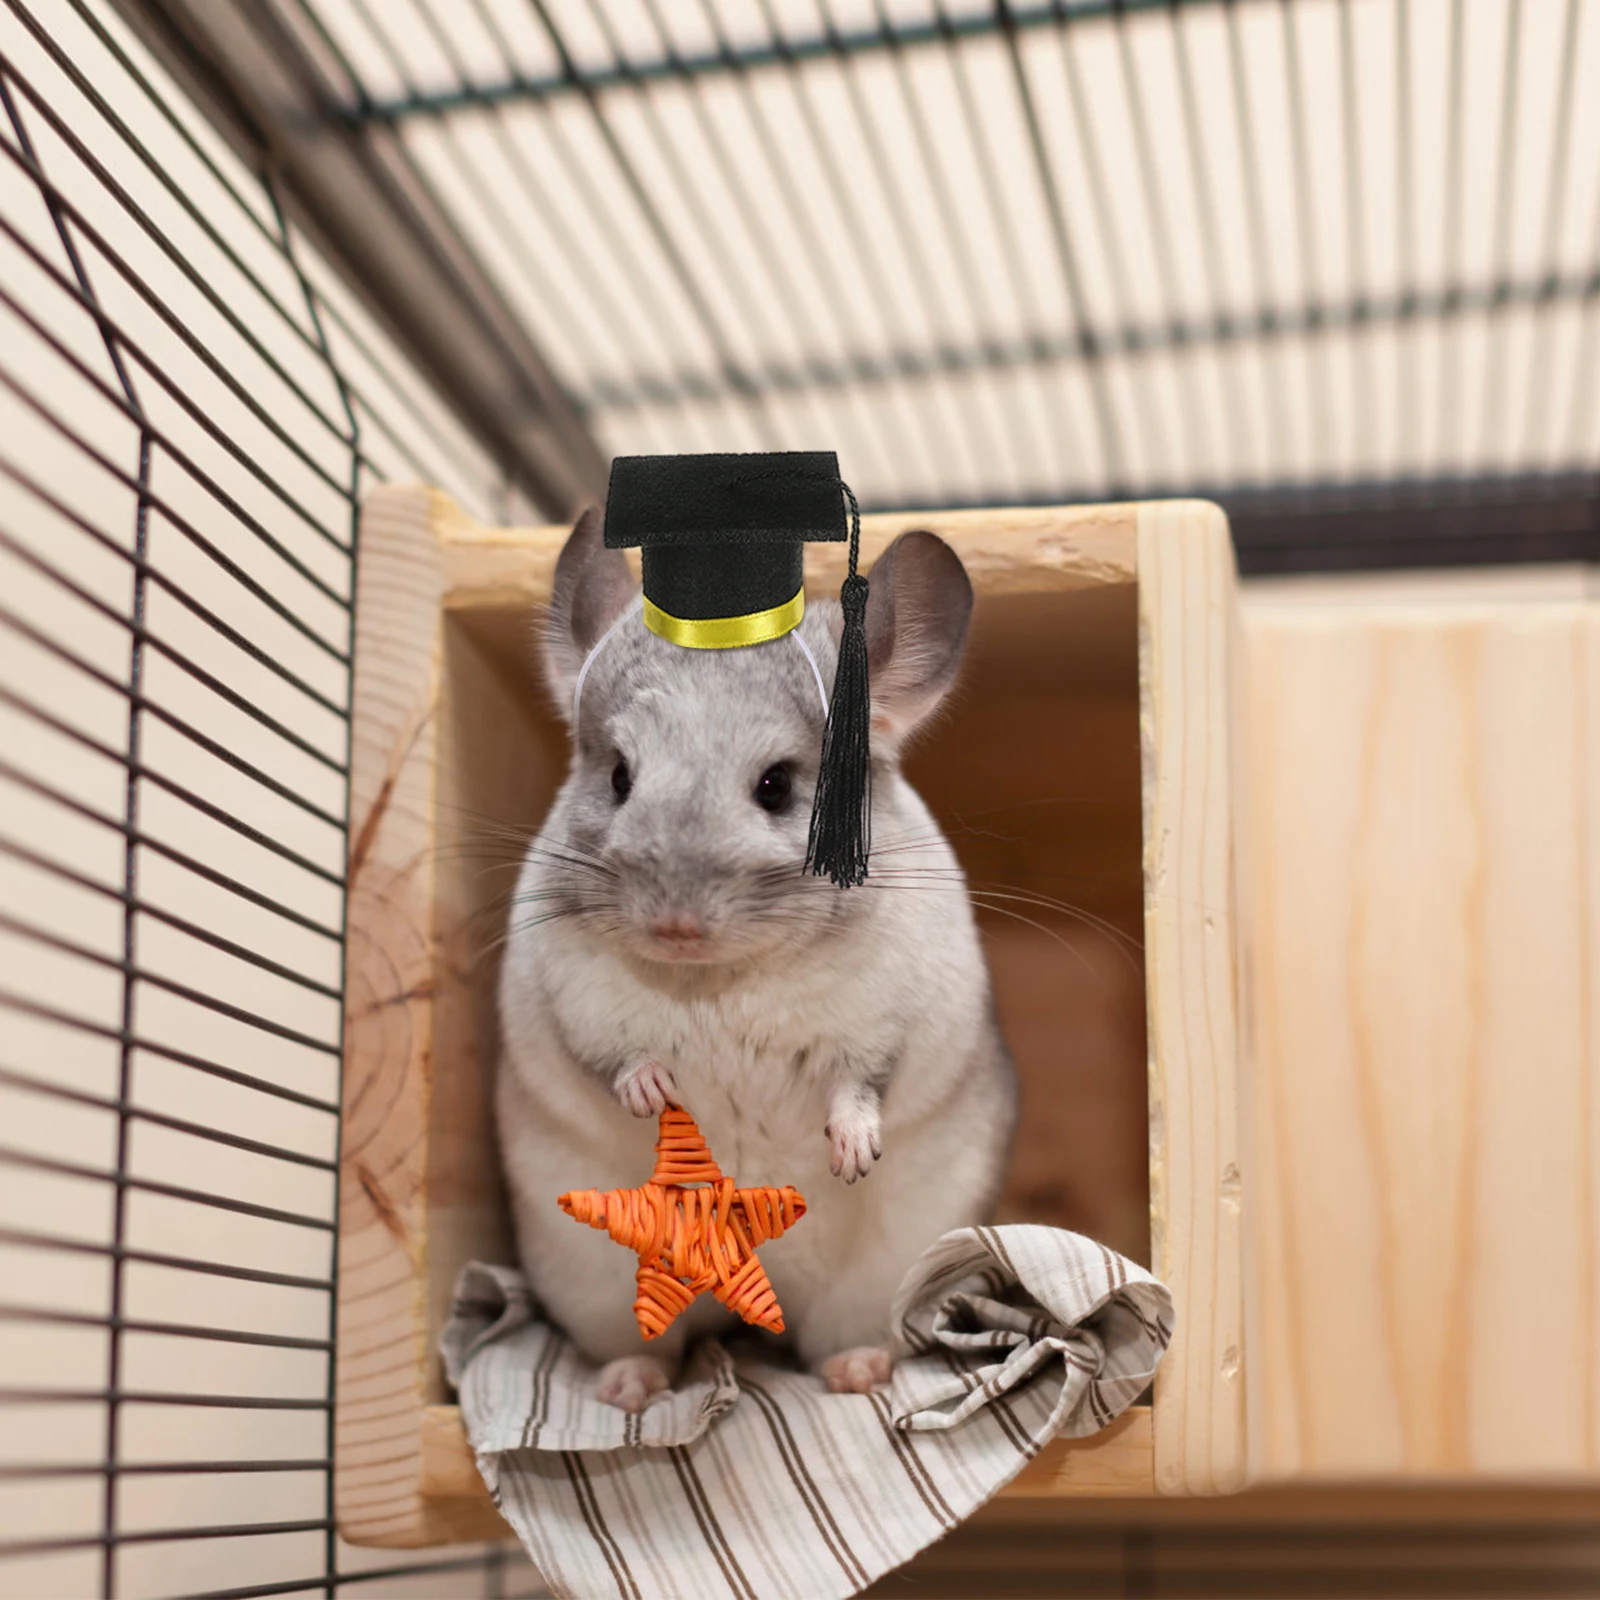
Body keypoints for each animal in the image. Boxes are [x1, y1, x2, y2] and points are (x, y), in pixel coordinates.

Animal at [495, 507, 1018, 1412]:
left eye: (777, 785)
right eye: (619, 776)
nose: (674, 924)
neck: (716, 982)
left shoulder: (891, 1013)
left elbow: (861, 1082)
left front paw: (852, 1153)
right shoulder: (573, 1000)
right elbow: (611, 1057)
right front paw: (653, 1091)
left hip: (882, 1276)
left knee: (837, 1339)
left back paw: (857, 1372)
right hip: (591, 1279)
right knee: (649, 1346)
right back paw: (631, 1388)